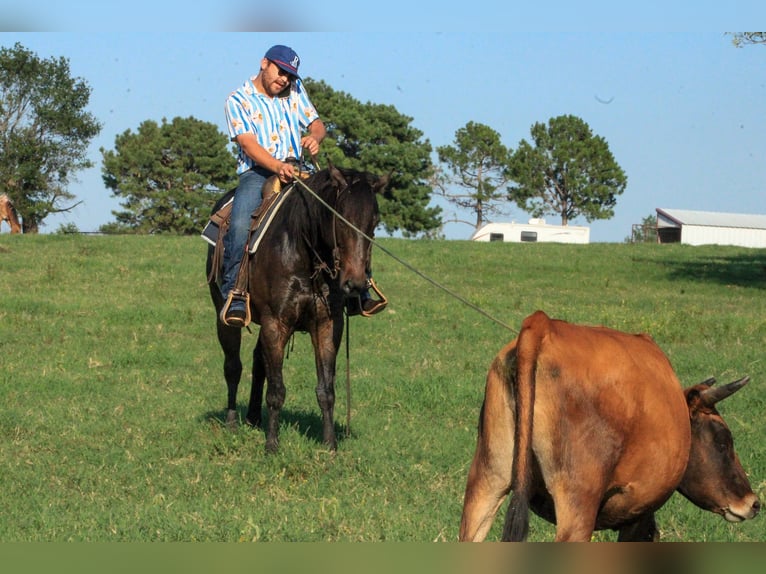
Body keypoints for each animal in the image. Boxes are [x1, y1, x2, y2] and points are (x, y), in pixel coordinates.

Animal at [206, 165, 390, 454]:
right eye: (341, 219)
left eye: (373, 222)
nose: (355, 284)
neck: (301, 248)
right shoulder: (276, 323)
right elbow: (276, 390)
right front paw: (272, 445)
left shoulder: (327, 324)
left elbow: (326, 389)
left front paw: (330, 444)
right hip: (223, 316)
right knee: (233, 366)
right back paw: (232, 421)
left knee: (258, 361)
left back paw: (253, 417)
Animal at [460, 312, 760, 544]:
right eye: (723, 441)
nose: (754, 503)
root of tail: (544, 325)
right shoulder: (639, 512)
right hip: (578, 503)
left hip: (486, 482)